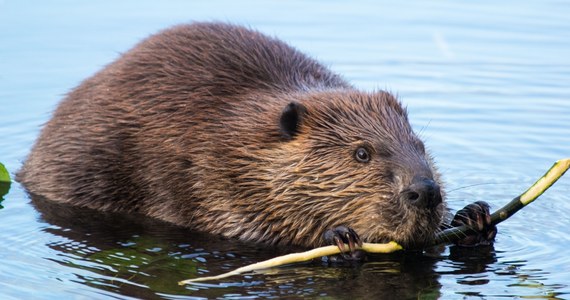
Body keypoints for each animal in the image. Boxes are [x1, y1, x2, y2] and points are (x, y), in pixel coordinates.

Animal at [16, 22, 492, 251]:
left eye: (422, 146)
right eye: (361, 153)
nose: (425, 191)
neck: (241, 136)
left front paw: (474, 217)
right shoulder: (206, 172)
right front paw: (339, 238)